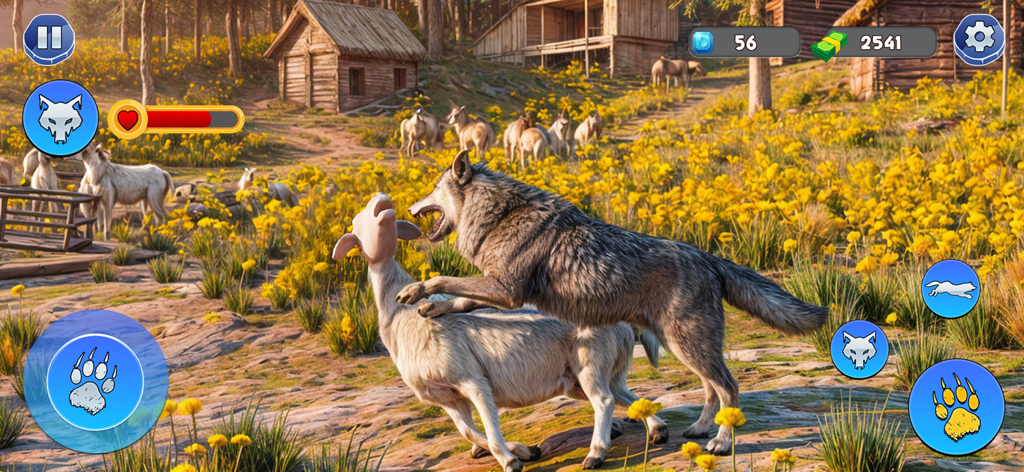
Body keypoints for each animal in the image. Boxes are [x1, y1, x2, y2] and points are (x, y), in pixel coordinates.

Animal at [395, 151, 829, 454]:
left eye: (431, 188)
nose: (409, 208)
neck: (498, 215)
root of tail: (708, 257)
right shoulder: (501, 291)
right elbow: (458, 297)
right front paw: (431, 306)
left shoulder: (506, 289)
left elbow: (445, 279)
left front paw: (416, 292)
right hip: (685, 348)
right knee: (711, 389)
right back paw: (701, 428)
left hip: (689, 346)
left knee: (730, 387)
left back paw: (721, 442)